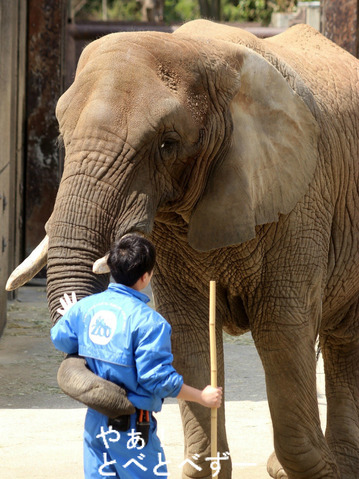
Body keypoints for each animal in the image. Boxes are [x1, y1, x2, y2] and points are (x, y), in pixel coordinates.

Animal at [5, 19, 359, 479]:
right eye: (62, 134)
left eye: (167, 143)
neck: (203, 53)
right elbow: (185, 334)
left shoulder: (302, 200)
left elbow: (282, 330)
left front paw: (314, 469)